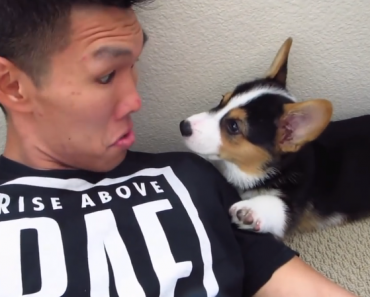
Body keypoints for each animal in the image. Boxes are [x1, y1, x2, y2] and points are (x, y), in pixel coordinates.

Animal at [179, 37, 370, 238]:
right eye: (222, 99)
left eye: (233, 126)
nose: (183, 126)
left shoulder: (291, 206)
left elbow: (277, 206)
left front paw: (250, 210)